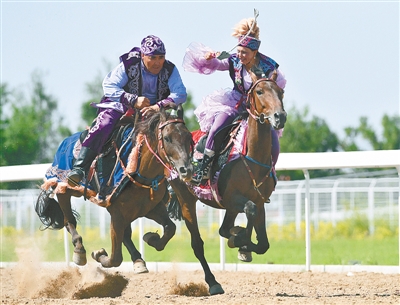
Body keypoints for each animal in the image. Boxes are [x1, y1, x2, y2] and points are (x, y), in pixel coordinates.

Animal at [36, 104, 194, 270]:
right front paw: (99, 254)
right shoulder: (117, 213)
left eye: (189, 137)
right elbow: (115, 258)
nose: (186, 170)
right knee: (69, 220)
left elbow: (170, 228)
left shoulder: (150, 208)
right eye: (167, 138)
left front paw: (151, 238)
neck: (141, 171)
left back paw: (138, 260)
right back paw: (79, 250)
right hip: (64, 188)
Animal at [167, 72, 286, 294]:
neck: (253, 157)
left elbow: (263, 243)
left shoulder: (259, 200)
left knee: (224, 229)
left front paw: (243, 245)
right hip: (186, 198)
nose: (279, 117)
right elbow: (248, 212)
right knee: (197, 244)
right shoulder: (231, 199)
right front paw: (240, 241)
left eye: (280, 91)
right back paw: (213, 282)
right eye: (259, 91)